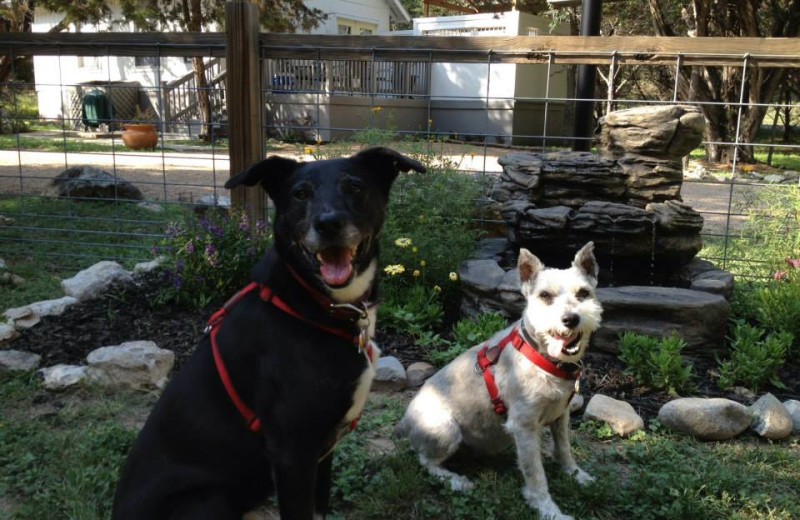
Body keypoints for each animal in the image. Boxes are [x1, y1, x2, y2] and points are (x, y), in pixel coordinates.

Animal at [114, 147, 424, 520]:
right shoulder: (293, 453)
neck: (312, 304)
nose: (328, 223)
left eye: (355, 187)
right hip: (209, 499)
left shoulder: (323, 449)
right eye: (300, 193)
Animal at [396, 244, 604, 520]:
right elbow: (535, 473)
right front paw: (548, 510)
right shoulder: (524, 426)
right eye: (545, 295)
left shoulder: (561, 416)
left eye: (583, 293)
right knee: (426, 461)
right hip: (445, 429)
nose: (570, 319)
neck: (543, 357)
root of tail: (404, 423)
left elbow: (564, 449)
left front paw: (577, 475)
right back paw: (456, 481)